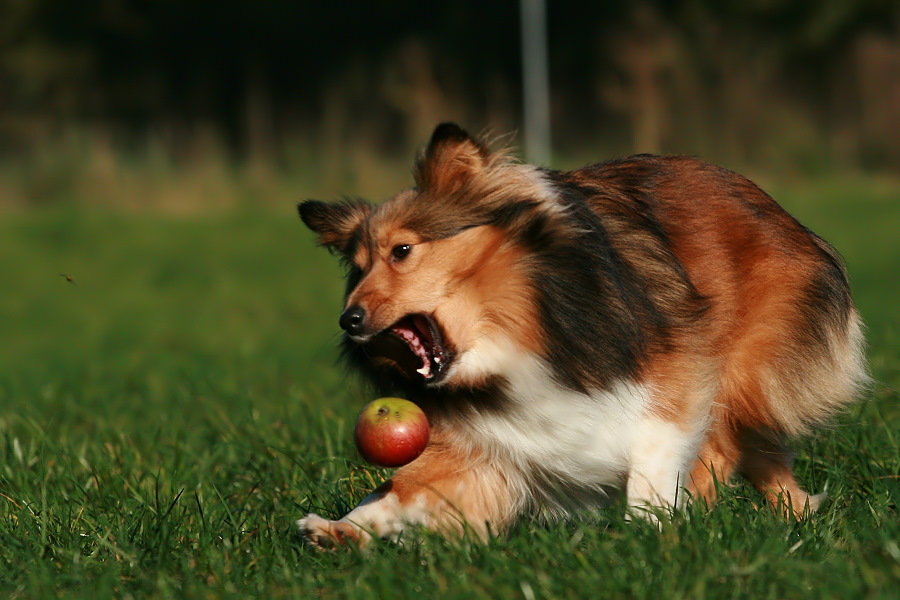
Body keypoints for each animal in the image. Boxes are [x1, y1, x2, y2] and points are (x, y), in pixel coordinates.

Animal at [294, 122, 864, 548]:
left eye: (403, 251)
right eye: (358, 267)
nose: (349, 320)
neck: (521, 336)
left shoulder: (675, 368)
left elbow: (653, 454)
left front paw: (647, 529)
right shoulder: (483, 438)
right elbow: (402, 488)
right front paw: (337, 531)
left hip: (744, 370)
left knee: (727, 445)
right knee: (763, 457)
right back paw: (794, 519)